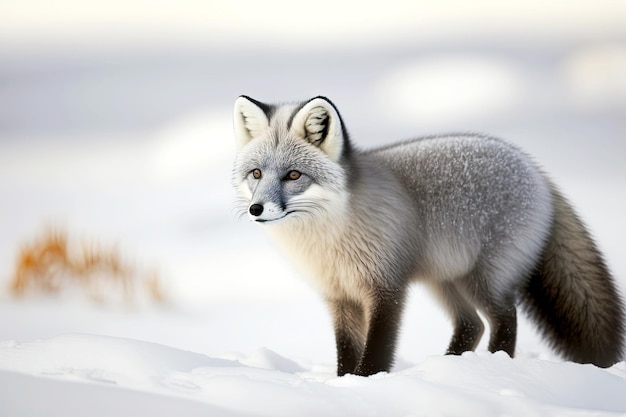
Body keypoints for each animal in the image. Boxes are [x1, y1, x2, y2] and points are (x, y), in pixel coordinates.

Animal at [232, 96, 620, 376]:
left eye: (293, 175)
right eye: (256, 173)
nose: (256, 209)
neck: (329, 238)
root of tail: (535, 169)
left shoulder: (386, 287)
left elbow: (377, 349)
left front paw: (366, 383)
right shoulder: (339, 297)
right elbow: (346, 351)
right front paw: (341, 385)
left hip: (484, 279)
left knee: (504, 319)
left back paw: (493, 364)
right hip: (444, 281)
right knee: (471, 325)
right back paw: (448, 366)